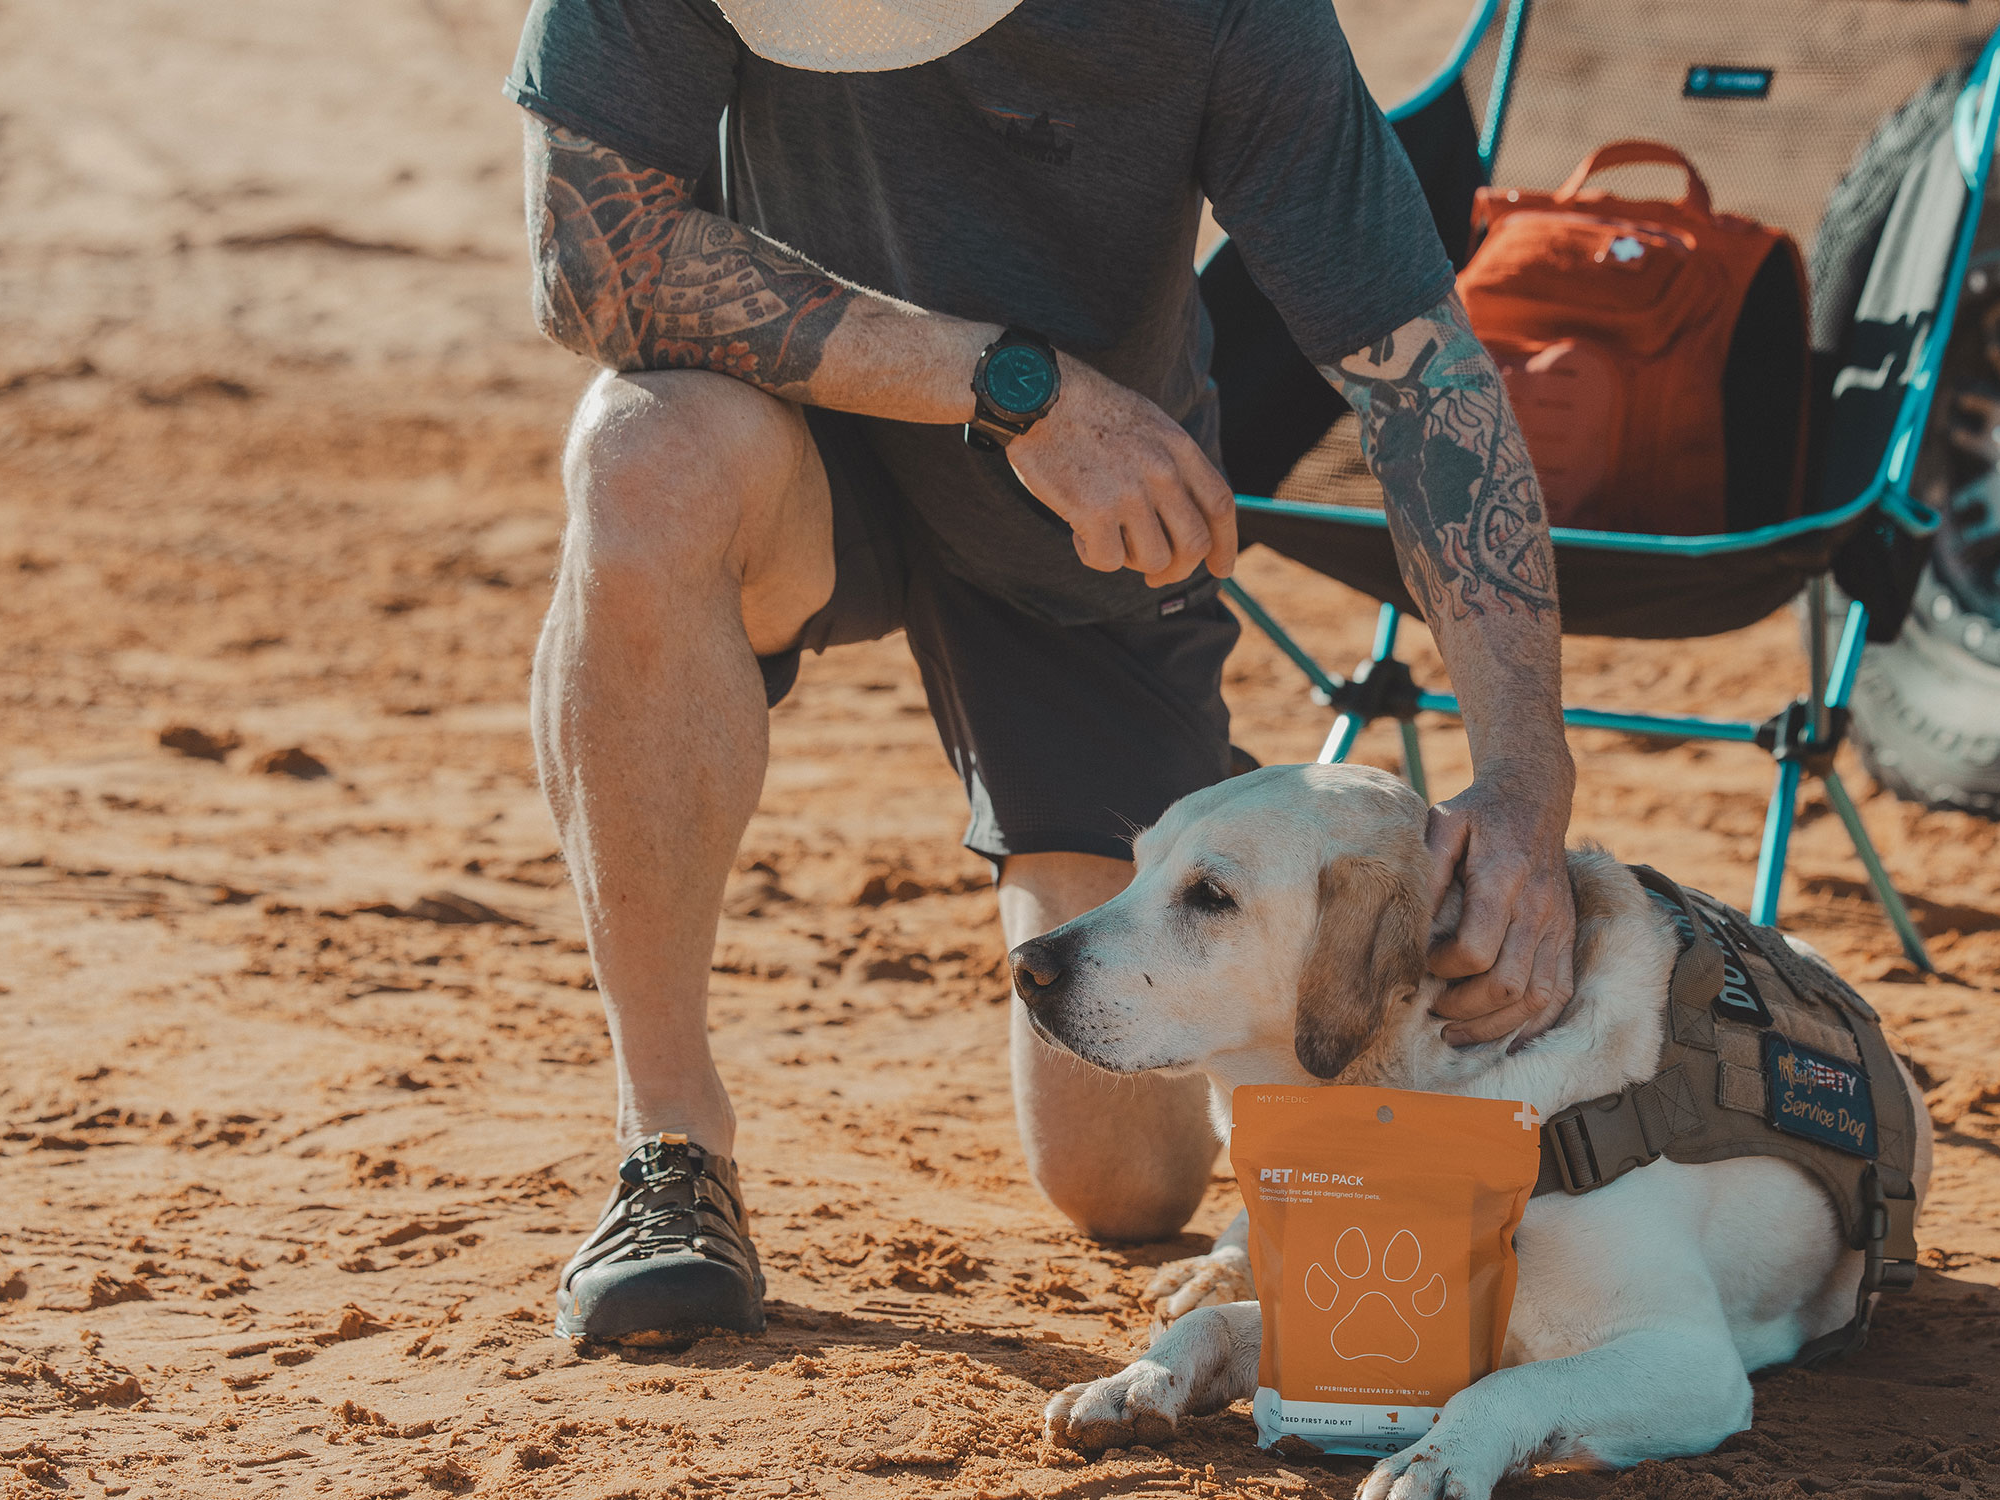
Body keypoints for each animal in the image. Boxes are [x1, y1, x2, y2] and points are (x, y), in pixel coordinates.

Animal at [1008, 768, 1928, 1496]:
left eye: (1211, 897)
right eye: (1137, 868)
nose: (1026, 967)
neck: (1432, 1093)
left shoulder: (1692, 1359)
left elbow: (1503, 1388)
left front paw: (1438, 1459)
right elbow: (1217, 1327)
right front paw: (1135, 1380)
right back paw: (1208, 1270)